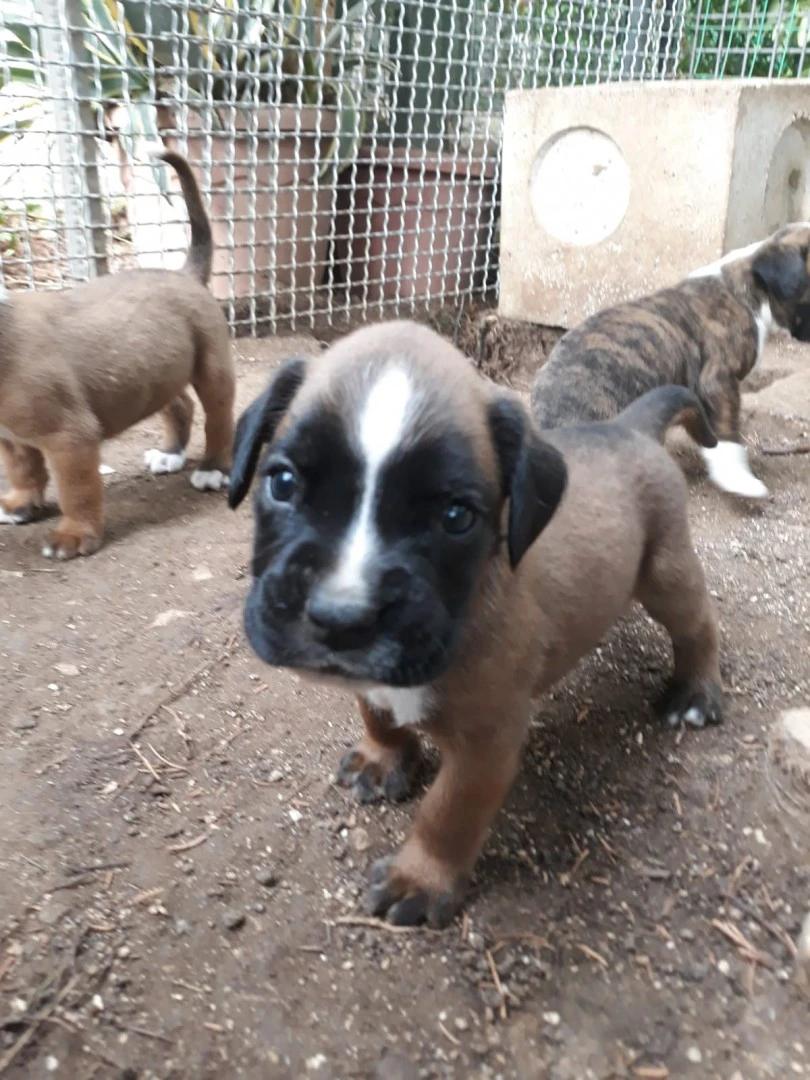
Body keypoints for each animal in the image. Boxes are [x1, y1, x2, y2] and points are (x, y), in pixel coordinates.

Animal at [0, 156, 234, 561]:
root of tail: (185, 273)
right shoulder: (13, 438)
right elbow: (24, 470)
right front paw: (21, 505)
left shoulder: (70, 437)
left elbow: (77, 492)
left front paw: (75, 536)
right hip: (156, 367)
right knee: (180, 405)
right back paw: (170, 454)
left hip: (214, 370)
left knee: (219, 419)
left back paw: (213, 469)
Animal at [228, 315, 721, 924]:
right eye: (283, 482)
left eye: (455, 516)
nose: (343, 617)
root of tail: (626, 428)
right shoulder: (375, 683)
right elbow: (377, 711)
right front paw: (384, 757)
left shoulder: (486, 744)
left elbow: (448, 814)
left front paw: (421, 878)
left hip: (666, 574)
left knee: (697, 626)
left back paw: (696, 692)